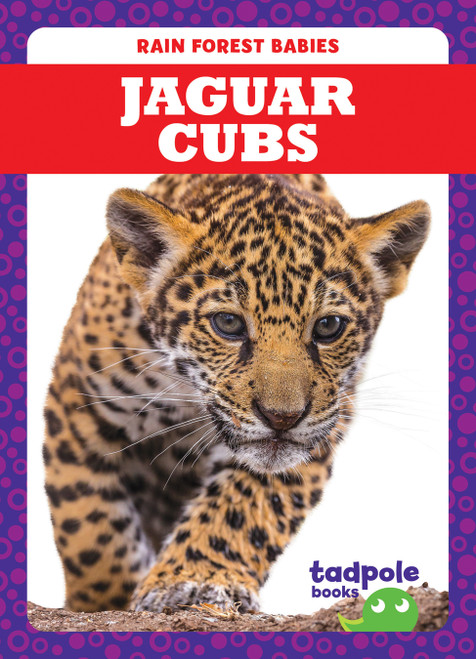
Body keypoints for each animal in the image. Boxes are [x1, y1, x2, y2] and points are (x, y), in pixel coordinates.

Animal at [43, 173, 430, 613]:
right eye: (227, 323)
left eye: (329, 326)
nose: (282, 418)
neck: (186, 392)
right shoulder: (76, 408)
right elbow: (90, 526)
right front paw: (106, 599)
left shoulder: (322, 426)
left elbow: (244, 506)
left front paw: (194, 579)